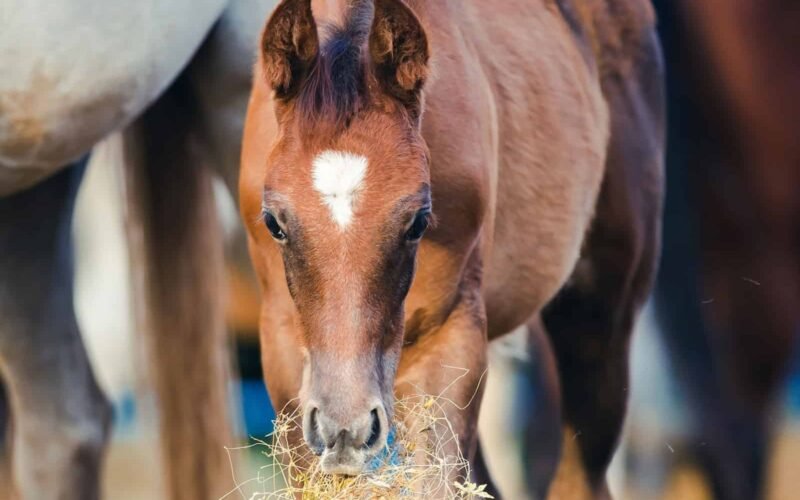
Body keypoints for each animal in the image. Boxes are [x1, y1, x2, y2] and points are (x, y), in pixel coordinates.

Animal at [239, 0, 665, 497]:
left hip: (602, 310)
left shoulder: (451, 331)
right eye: (274, 223)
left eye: (419, 222)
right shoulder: (282, 341)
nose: (345, 431)